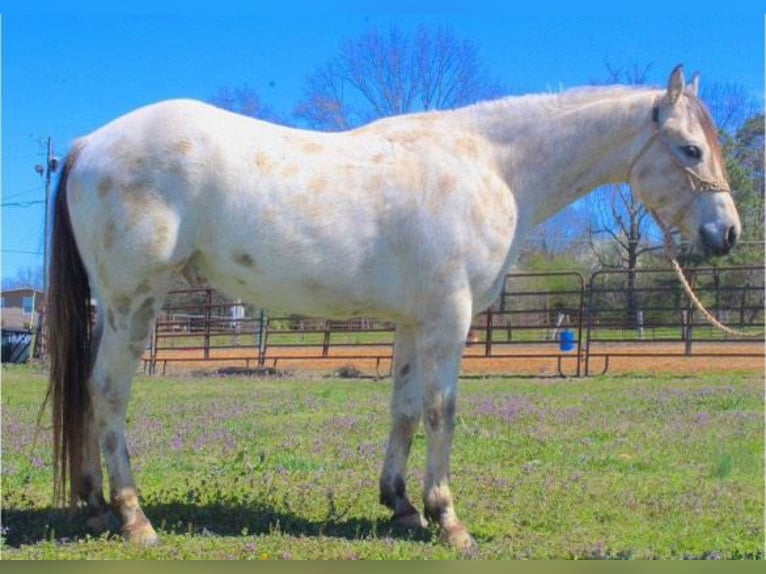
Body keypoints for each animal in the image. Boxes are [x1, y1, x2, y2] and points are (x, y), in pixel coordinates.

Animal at [45, 66, 740, 552]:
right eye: (690, 150)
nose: (727, 233)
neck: (492, 167)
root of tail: (87, 144)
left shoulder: (413, 322)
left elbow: (403, 410)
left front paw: (401, 505)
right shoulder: (449, 319)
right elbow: (441, 412)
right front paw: (449, 519)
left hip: (113, 307)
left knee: (88, 391)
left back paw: (96, 504)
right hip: (135, 302)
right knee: (108, 392)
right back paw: (134, 517)